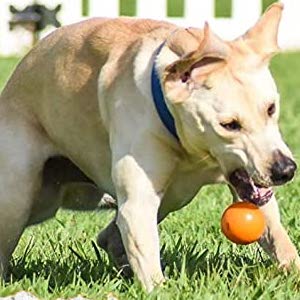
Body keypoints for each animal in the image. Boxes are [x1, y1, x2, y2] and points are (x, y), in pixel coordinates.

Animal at [0, 2, 300, 292]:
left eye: (271, 108)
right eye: (229, 125)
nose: (285, 170)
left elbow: (275, 233)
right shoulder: (138, 203)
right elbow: (146, 255)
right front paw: (161, 289)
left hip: (169, 198)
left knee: (110, 237)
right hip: (19, 199)